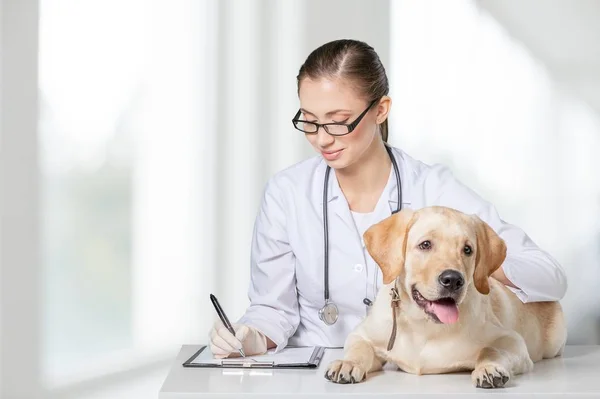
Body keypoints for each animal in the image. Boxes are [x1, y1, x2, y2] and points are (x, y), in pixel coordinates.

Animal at [326, 208, 564, 390]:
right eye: (425, 245)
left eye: (467, 249)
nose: (453, 280)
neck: (423, 325)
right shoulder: (362, 334)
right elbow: (359, 348)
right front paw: (346, 363)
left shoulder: (512, 340)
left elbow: (490, 349)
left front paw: (489, 367)